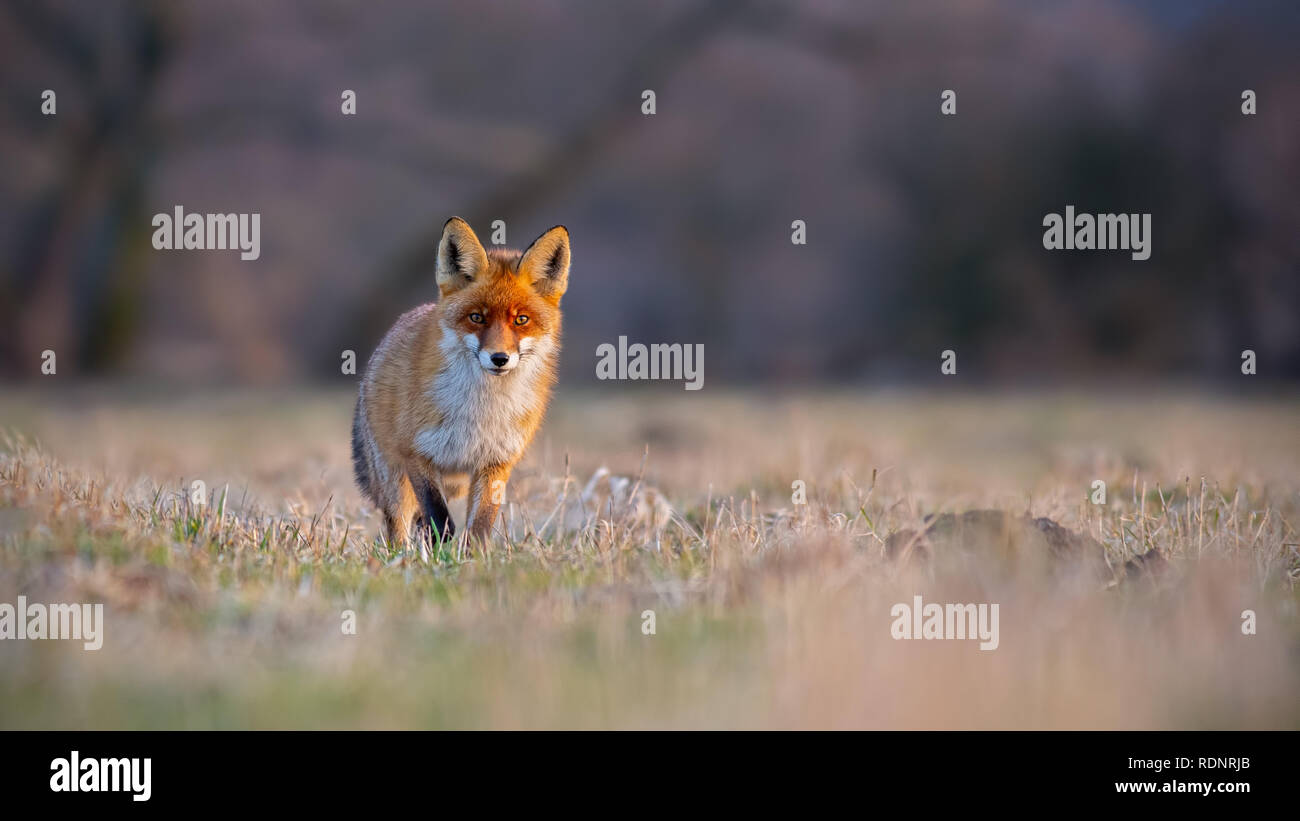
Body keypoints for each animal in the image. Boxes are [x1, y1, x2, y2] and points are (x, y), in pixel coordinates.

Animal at [351, 218, 569, 548]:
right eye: (476, 317)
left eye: (521, 319)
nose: (499, 358)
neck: (481, 409)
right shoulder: (417, 454)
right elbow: (439, 519)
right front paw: (441, 554)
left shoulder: (495, 462)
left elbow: (480, 525)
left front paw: (472, 556)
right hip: (394, 479)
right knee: (398, 526)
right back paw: (401, 554)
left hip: (454, 482)